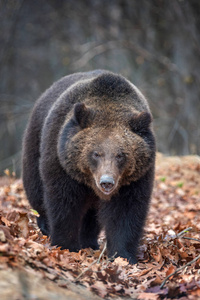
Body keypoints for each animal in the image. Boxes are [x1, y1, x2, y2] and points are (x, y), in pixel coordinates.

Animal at [22, 70, 156, 262]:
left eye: (120, 155)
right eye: (96, 153)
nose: (106, 182)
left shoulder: (136, 178)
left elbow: (126, 212)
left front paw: (123, 255)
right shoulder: (62, 164)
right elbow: (64, 203)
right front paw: (66, 245)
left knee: (91, 217)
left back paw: (89, 241)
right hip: (35, 142)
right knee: (35, 188)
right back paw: (45, 225)